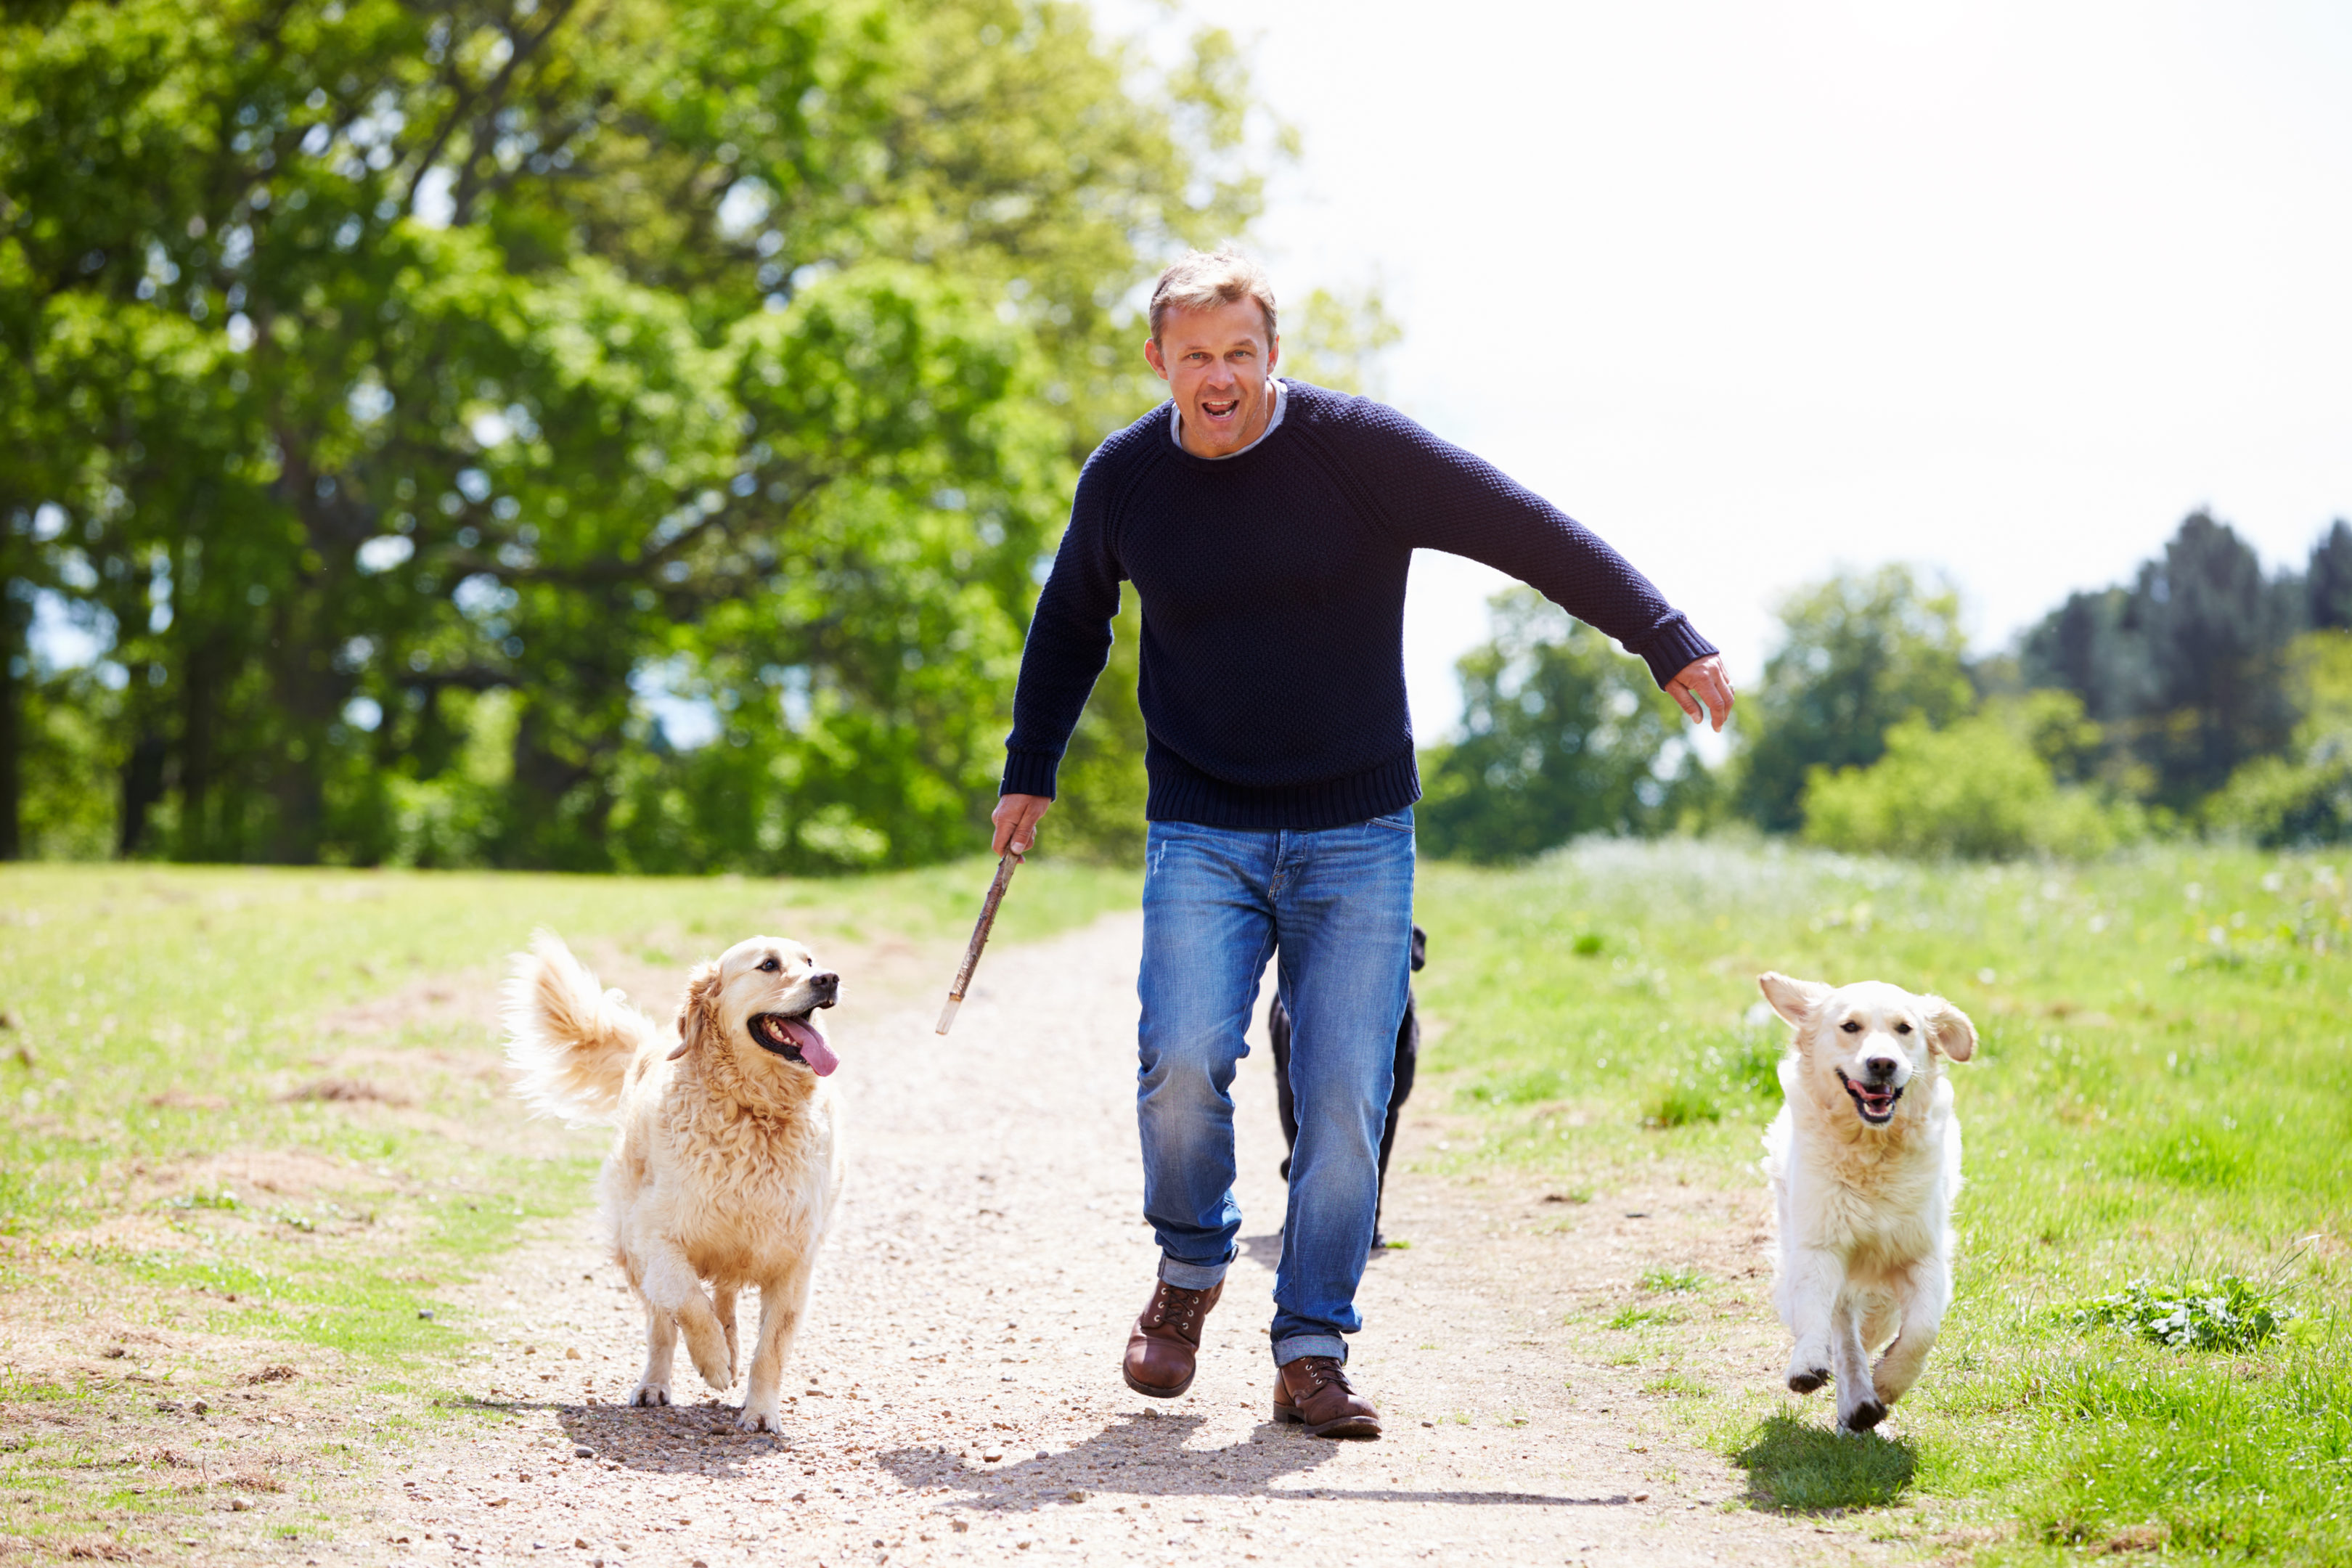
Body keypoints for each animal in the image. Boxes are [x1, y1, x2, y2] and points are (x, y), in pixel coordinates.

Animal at [501, 931, 851, 1438]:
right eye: (768, 965)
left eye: (809, 961)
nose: (828, 978)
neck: (754, 1110)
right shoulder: (654, 1236)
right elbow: (687, 1303)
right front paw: (712, 1363)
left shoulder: (794, 1258)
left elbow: (772, 1346)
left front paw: (761, 1411)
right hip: (630, 1247)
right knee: (662, 1323)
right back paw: (658, 1383)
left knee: (724, 1296)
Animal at [1759, 968, 1975, 1438]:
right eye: (1850, 1026)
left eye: (1905, 1028)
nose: (1882, 1064)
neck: (1873, 1151)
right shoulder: (1819, 1246)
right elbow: (1817, 1315)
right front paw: (1808, 1364)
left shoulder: (1922, 1254)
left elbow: (1922, 1331)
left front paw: (1890, 1382)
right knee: (1844, 1334)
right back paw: (1856, 1402)